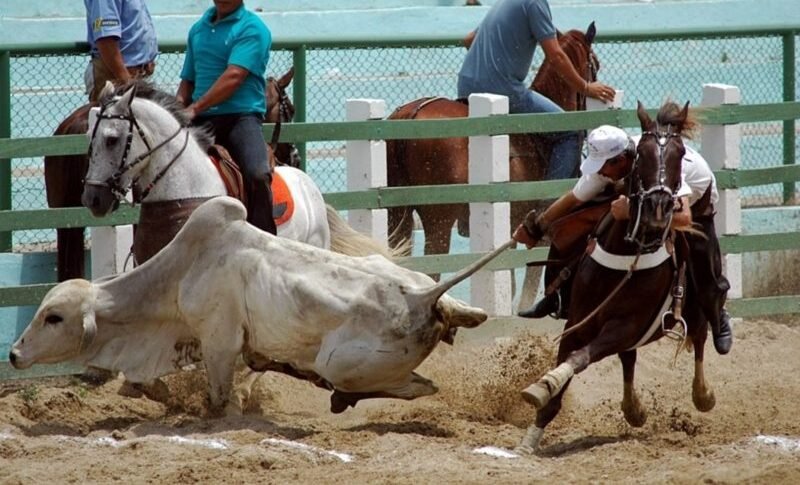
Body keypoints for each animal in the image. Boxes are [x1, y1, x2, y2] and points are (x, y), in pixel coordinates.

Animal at [10, 197, 509, 414]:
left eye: (54, 317)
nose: (14, 353)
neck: (180, 276)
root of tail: (425, 298)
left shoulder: (218, 343)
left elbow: (218, 398)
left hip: (340, 362)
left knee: (415, 386)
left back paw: (340, 396)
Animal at [515, 101, 716, 455]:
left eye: (679, 154)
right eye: (642, 155)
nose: (658, 207)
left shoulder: (625, 326)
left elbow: (579, 358)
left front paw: (545, 382)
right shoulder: (578, 322)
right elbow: (563, 377)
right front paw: (529, 440)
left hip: (693, 304)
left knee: (701, 336)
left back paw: (702, 394)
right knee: (629, 359)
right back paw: (633, 409)